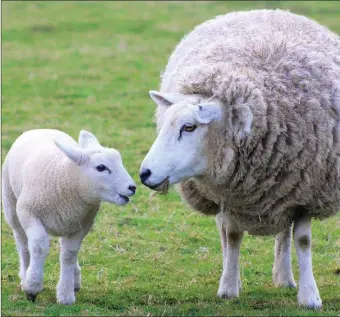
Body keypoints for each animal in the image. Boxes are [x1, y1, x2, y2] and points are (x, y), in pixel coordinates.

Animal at [1, 128, 137, 304]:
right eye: (101, 167)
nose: (132, 187)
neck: (65, 177)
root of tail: (40, 129)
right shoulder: (28, 212)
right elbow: (39, 247)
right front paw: (32, 287)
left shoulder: (83, 224)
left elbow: (69, 254)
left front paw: (66, 295)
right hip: (11, 205)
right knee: (23, 244)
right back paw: (25, 275)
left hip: (67, 221)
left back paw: (75, 280)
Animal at [139, 8, 340, 308]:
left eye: (189, 127)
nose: (145, 174)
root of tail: (267, 10)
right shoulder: (229, 193)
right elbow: (232, 235)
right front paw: (229, 288)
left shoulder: (307, 191)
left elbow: (302, 240)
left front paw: (310, 296)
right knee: (225, 232)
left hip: (286, 191)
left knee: (284, 231)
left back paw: (285, 277)